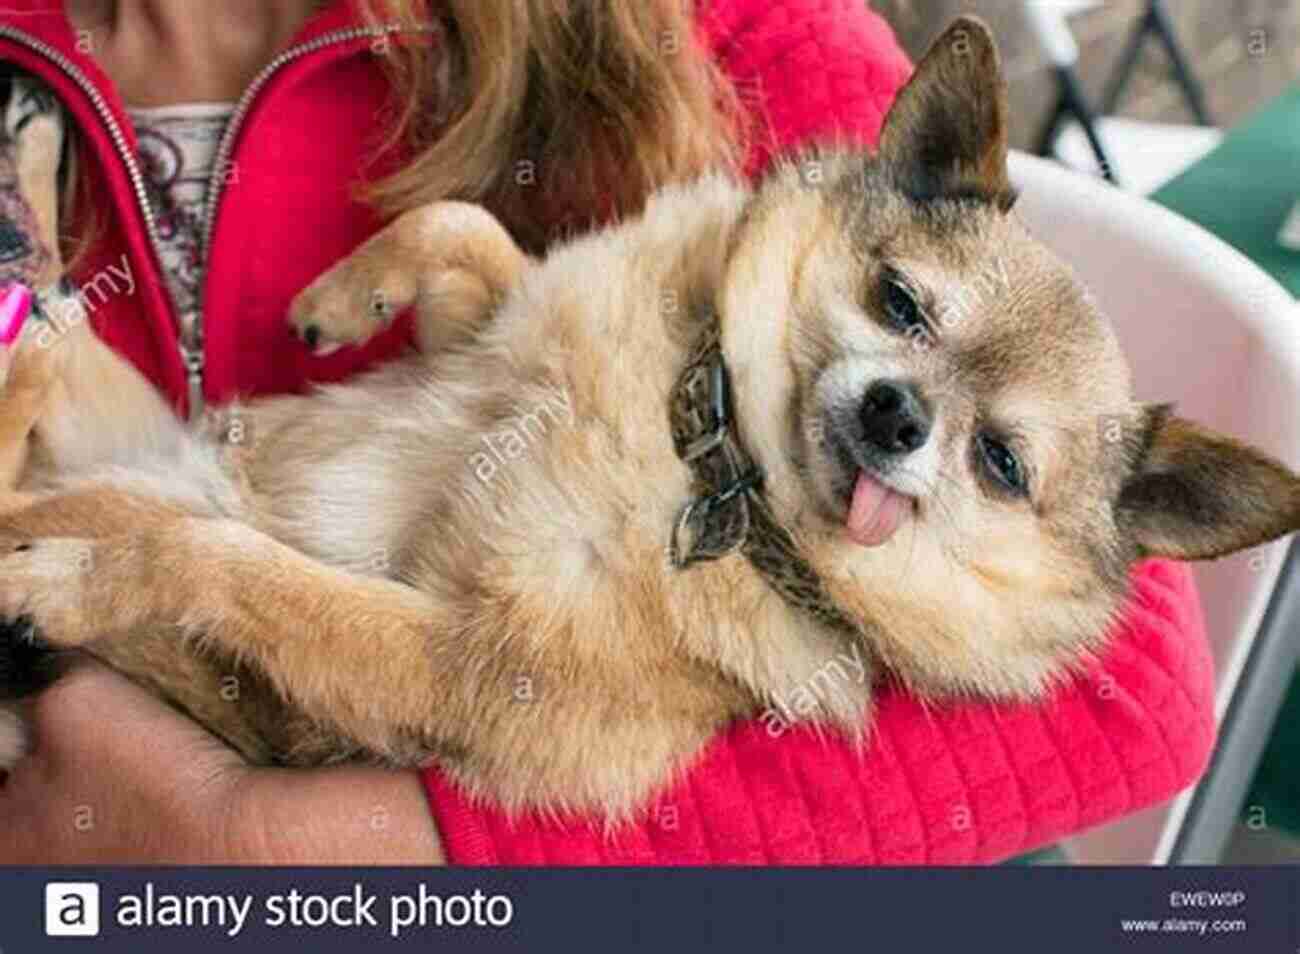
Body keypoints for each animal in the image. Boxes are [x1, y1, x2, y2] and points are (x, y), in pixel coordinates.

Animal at [2, 16, 1300, 821]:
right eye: (899, 301)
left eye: (999, 462)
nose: (895, 415)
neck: (707, 455)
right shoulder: (474, 336)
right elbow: (471, 231)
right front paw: (342, 294)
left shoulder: (444, 664)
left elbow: (229, 561)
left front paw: (73, 580)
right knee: (36, 358)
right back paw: (31, 161)